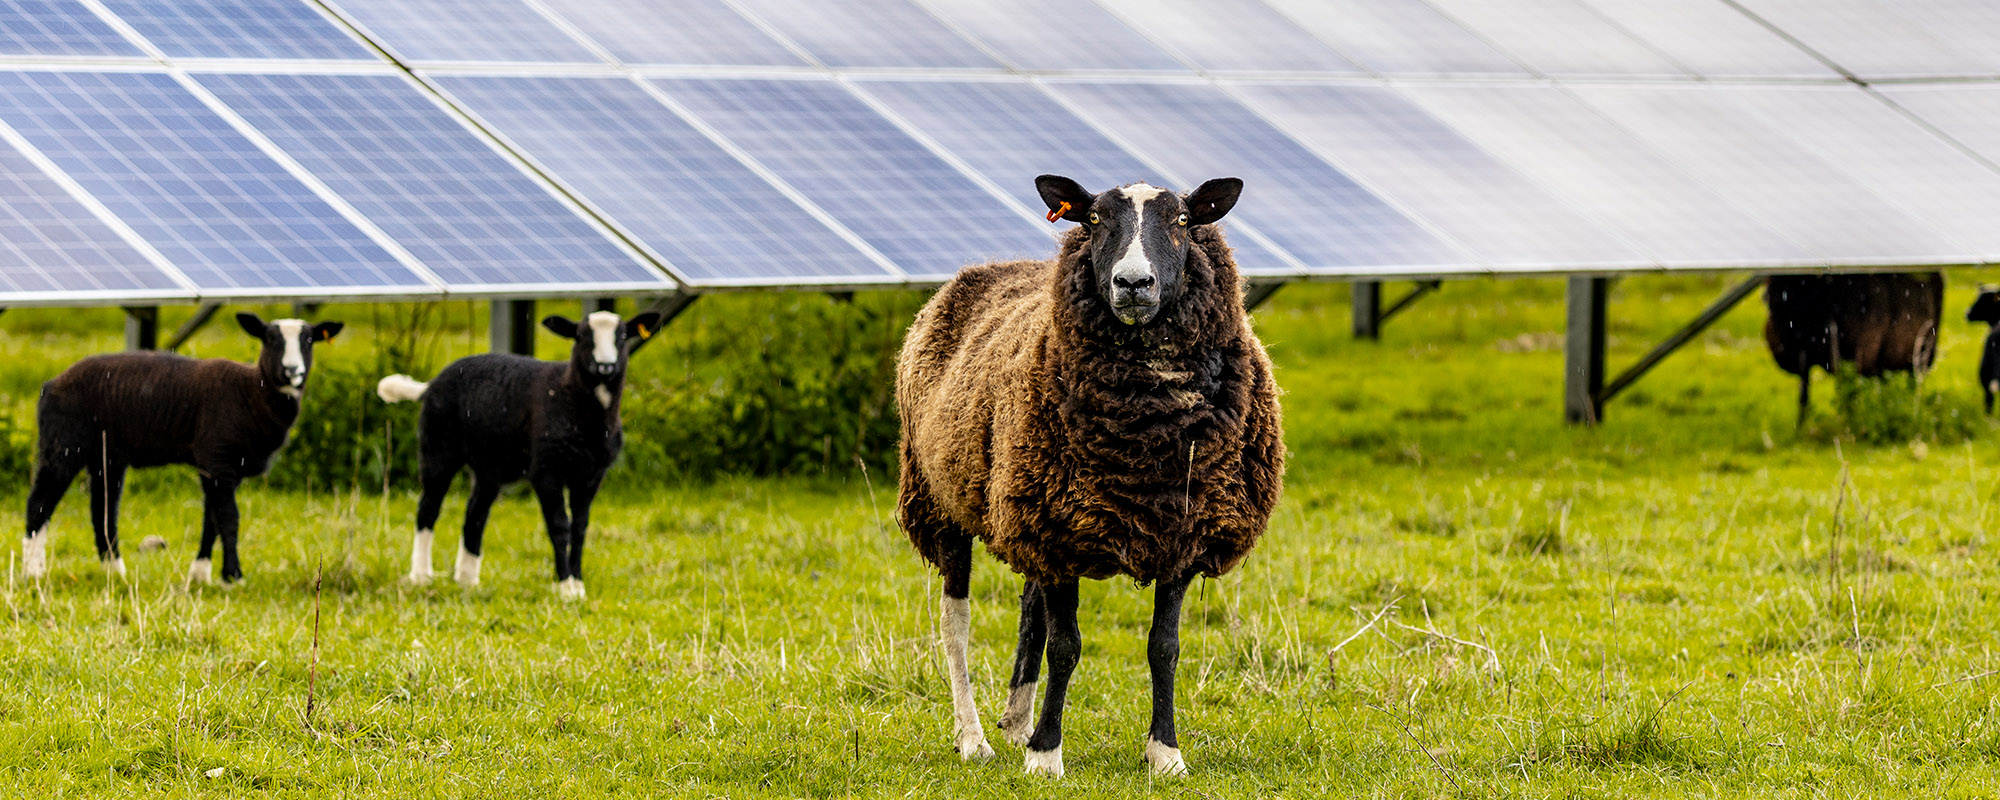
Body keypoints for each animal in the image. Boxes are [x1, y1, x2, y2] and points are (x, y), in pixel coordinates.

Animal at [23, 316, 342, 584]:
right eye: (270, 339)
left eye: (309, 340)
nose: (292, 371)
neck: (252, 391)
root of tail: (50, 385)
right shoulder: (216, 458)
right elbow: (229, 518)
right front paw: (233, 576)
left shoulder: (223, 467)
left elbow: (212, 519)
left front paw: (201, 574)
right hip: (64, 444)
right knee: (40, 503)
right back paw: (32, 572)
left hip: (106, 456)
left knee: (102, 510)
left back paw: (115, 571)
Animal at [386, 310, 668, 600]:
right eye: (581, 336)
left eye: (622, 336)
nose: (605, 366)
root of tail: (431, 385)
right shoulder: (546, 471)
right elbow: (559, 526)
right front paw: (566, 587)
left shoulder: (591, 475)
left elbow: (580, 527)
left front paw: (578, 584)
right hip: (437, 447)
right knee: (428, 508)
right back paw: (421, 576)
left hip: (489, 464)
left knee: (475, 514)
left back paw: (467, 579)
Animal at [900, 177, 1288, 780]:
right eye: (1095, 220)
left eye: (1181, 220)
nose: (1133, 283)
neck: (1148, 438)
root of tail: (984, 268)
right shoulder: (1059, 538)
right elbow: (1066, 647)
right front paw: (1045, 755)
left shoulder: (1181, 532)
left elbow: (1163, 647)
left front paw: (1165, 752)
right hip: (943, 500)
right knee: (955, 621)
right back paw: (974, 738)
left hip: (1025, 508)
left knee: (1029, 614)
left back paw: (1015, 721)